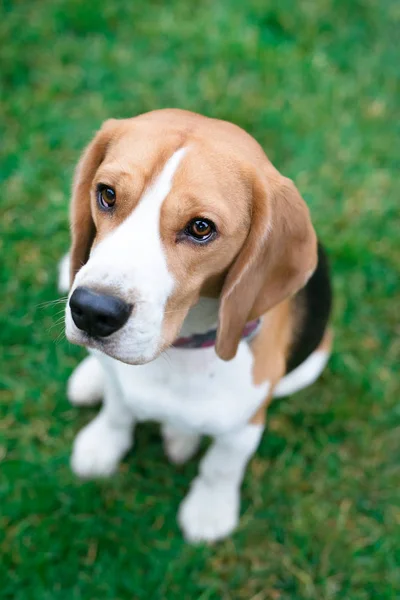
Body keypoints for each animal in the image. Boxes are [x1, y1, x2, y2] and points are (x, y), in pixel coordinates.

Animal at [61, 109, 332, 544]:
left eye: (201, 228)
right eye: (107, 194)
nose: (91, 311)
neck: (179, 351)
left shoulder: (245, 426)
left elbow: (221, 466)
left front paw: (209, 511)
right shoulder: (121, 388)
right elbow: (117, 410)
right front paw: (102, 444)